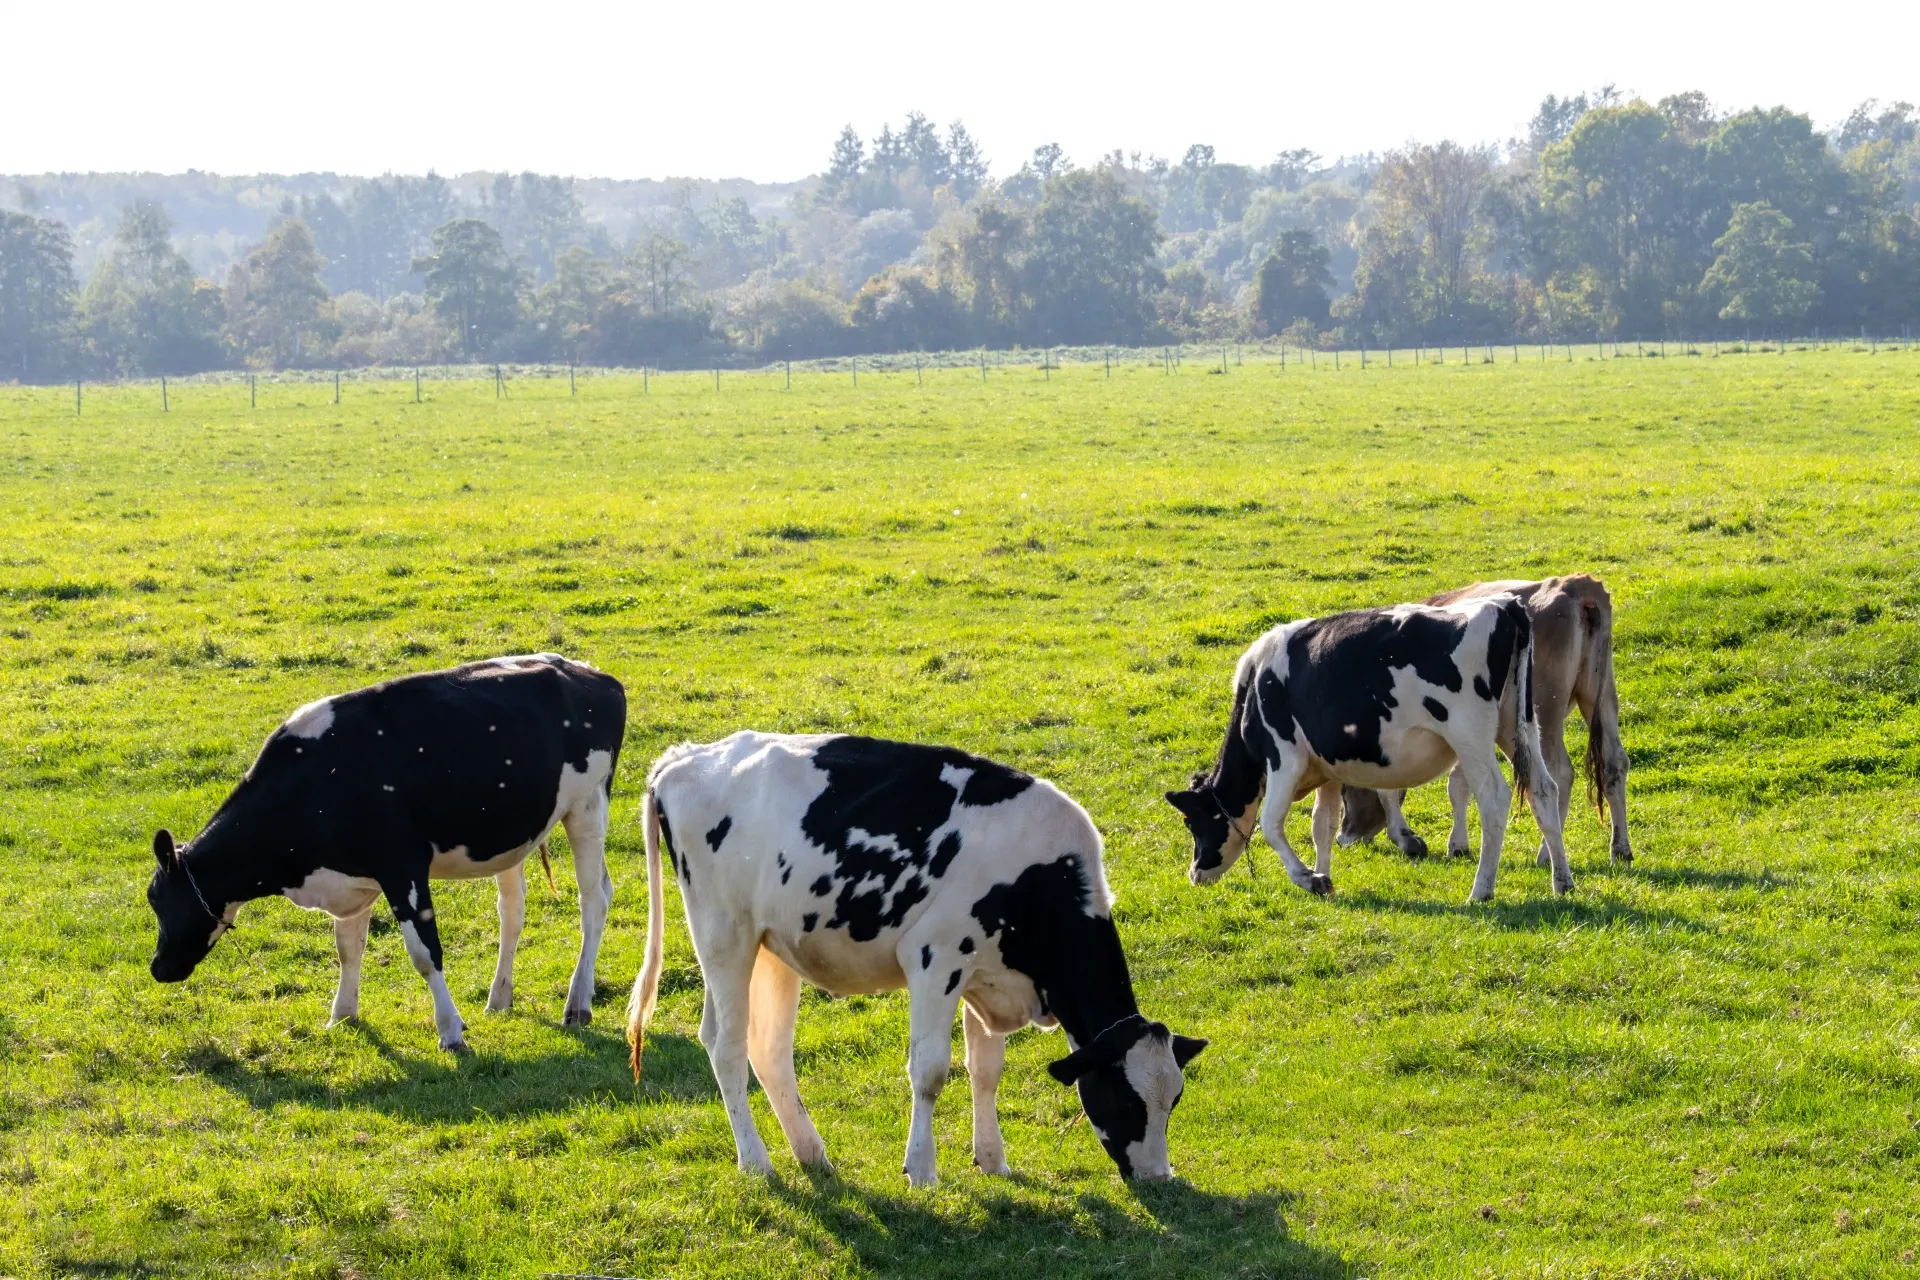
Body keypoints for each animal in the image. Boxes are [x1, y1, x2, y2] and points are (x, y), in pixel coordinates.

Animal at [145, 653, 625, 1051]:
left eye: (159, 900)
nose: (158, 967)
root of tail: (589, 672)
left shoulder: (402, 867)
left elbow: (425, 953)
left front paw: (451, 1031)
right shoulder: (352, 877)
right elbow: (347, 947)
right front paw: (342, 1014)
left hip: (587, 807)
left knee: (594, 900)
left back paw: (577, 1003)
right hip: (510, 834)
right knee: (513, 909)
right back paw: (499, 997)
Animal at [624, 732, 1207, 1185]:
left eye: (1174, 1100)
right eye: (1128, 1101)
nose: (1159, 1177)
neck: (1039, 876)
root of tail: (685, 758)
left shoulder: (985, 973)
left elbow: (986, 1070)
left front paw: (992, 1159)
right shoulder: (936, 959)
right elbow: (929, 1071)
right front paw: (922, 1169)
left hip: (772, 948)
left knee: (767, 1049)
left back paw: (811, 1153)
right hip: (723, 934)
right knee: (727, 1047)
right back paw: (756, 1162)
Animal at [1166, 595, 1570, 903]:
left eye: (1191, 821)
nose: (1195, 873)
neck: (1254, 690)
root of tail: (1504, 604)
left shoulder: (1285, 757)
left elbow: (1270, 824)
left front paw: (1309, 878)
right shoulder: (1327, 768)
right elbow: (1322, 825)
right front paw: (1324, 875)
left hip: (1470, 735)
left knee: (1494, 799)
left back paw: (1481, 890)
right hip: (1518, 725)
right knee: (1543, 790)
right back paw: (1562, 881)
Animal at [1337, 575, 1632, 868]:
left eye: (1345, 792)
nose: (1343, 837)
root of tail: (1574, 585)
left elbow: (1394, 790)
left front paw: (1407, 838)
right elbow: (1459, 783)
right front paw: (1458, 844)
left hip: (1542, 709)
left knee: (1558, 773)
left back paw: (1546, 854)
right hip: (1601, 696)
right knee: (1615, 762)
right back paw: (1620, 849)